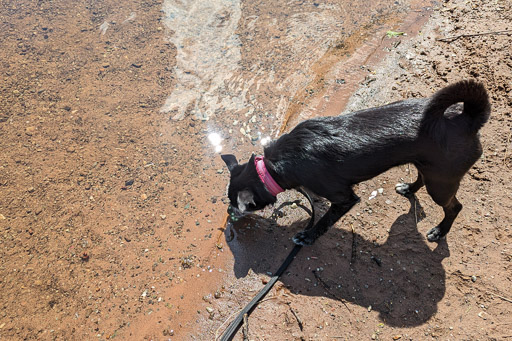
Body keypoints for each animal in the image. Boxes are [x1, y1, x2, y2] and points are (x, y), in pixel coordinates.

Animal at [221, 80, 492, 244]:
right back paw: (408, 189)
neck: (270, 167)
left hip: (442, 183)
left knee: (454, 207)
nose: (228, 212)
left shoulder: (344, 199)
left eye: (239, 204)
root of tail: (466, 120)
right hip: (429, 167)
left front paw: (308, 236)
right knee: (422, 178)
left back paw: (440, 230)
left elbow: (324, 221)